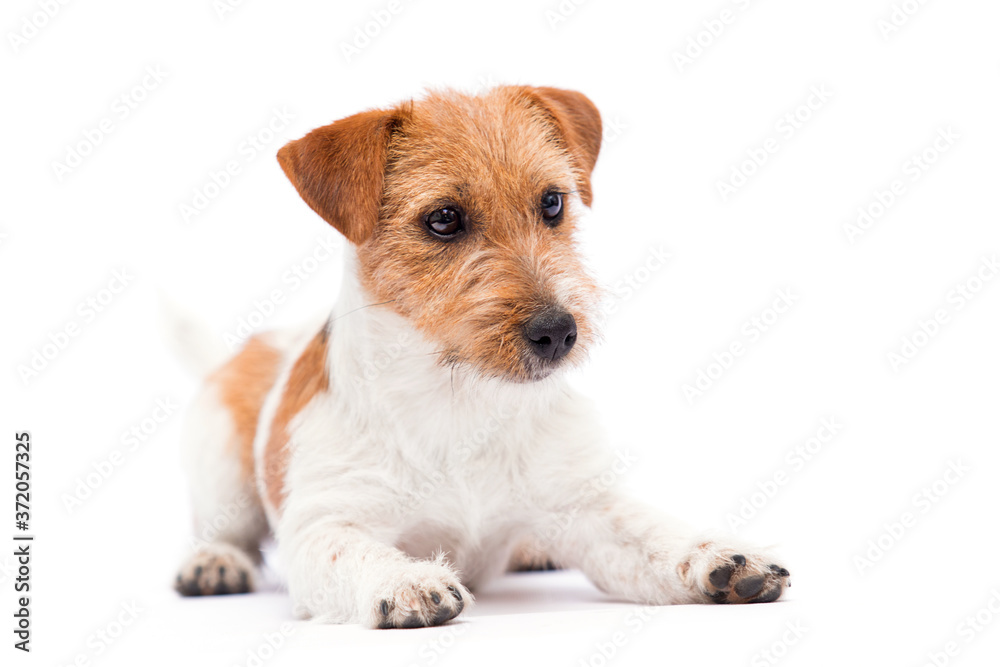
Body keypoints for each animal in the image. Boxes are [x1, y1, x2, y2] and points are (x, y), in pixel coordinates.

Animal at [174, 86, 788, 628]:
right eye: (444, 218)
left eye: (552, 202)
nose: (558, 332)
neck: (461, 401)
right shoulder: (325, 525)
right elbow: (354, 553)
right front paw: (406, 581)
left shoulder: (586, 508)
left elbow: (651, 535)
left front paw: (719, 557)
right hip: (221, 465)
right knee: (225, 530)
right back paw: (213, 562)